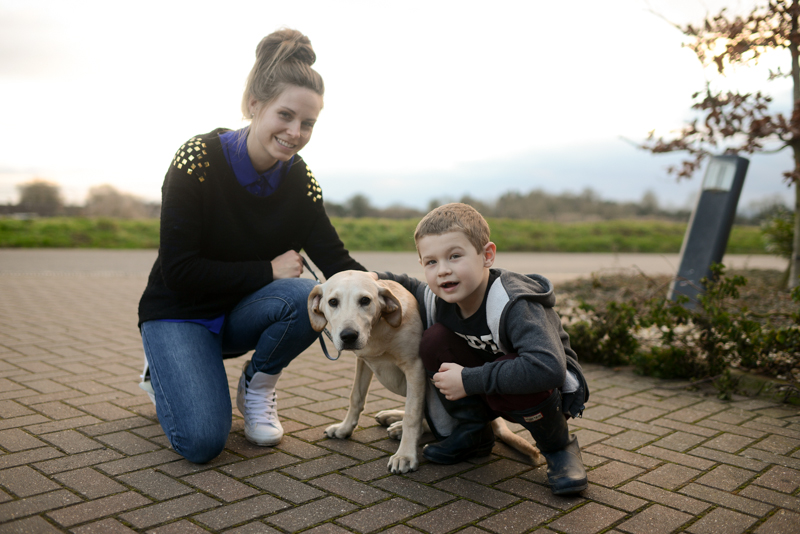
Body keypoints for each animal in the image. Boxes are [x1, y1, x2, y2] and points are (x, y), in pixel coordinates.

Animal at [306, 272, 544, 478]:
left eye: (365, 300)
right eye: (333, 302)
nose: (348, 336)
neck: (379, 330)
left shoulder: (415, 368)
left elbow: (413, 414)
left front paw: (405, 455)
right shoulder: (363, 362)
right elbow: (355, 397)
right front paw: (344, 429)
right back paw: (393, 418)